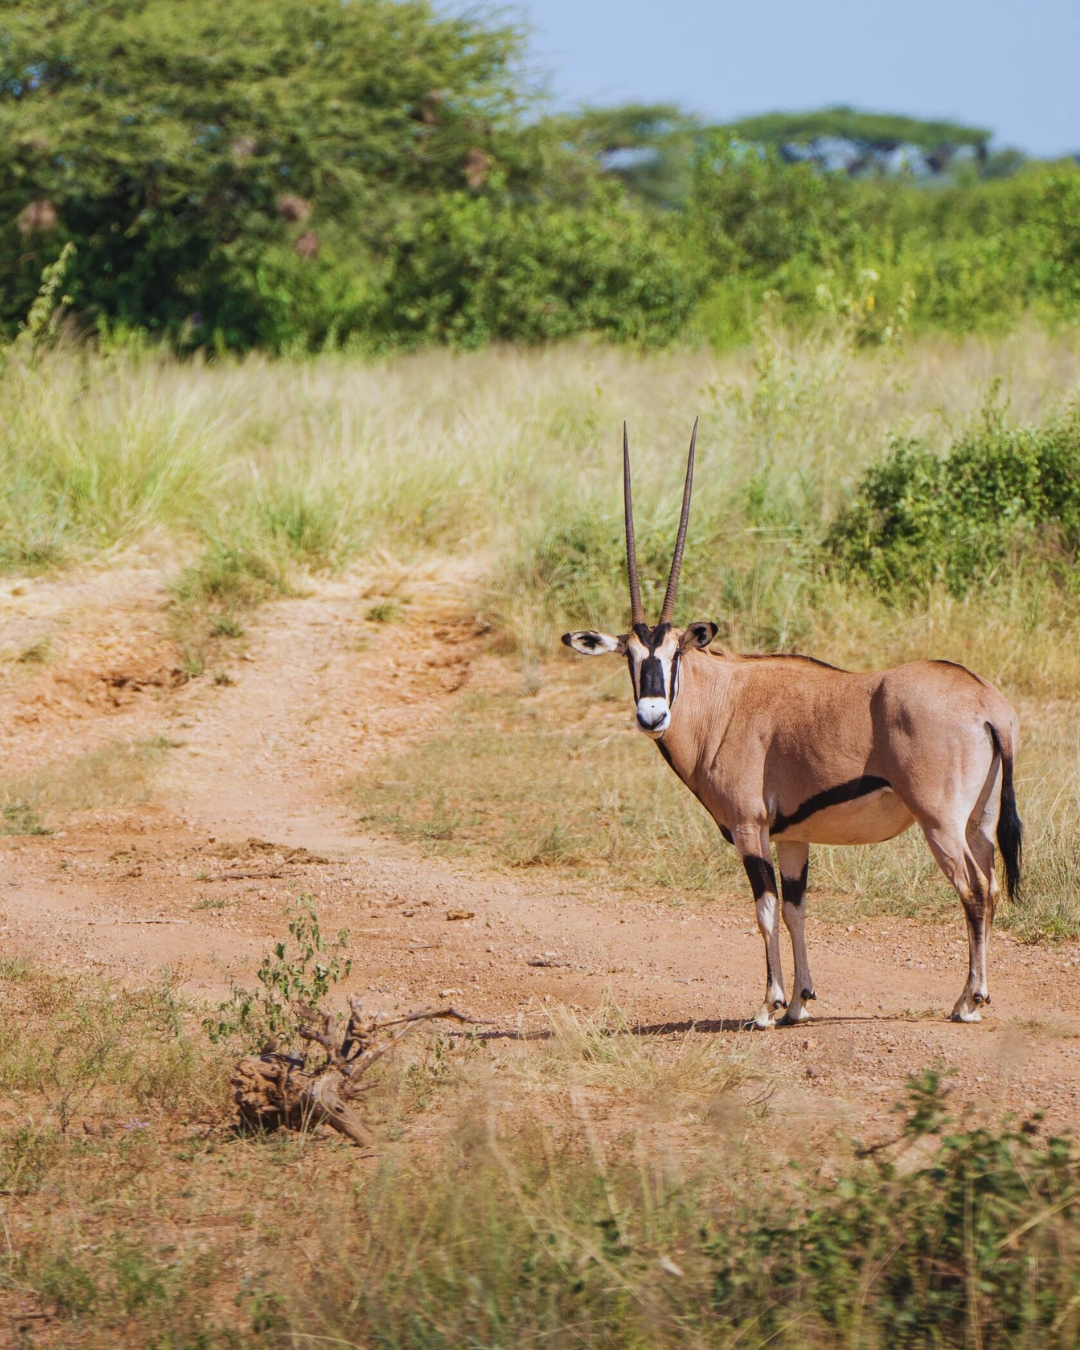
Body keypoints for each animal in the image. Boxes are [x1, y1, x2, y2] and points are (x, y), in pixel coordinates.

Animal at [562, 423, 1022, 1027]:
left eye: (674, 652)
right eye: (630, 657)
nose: (652, 714)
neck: (723, 701)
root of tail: (987, 703)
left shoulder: (749, 828)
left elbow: (764, 909)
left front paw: (768, 1005)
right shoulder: (793, 837)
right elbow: (796, 909)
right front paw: (800, 1003)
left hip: (941, 824)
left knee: (974, 891)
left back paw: (968, 1000)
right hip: (979, 821)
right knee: (989, 887)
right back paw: (976, 995)